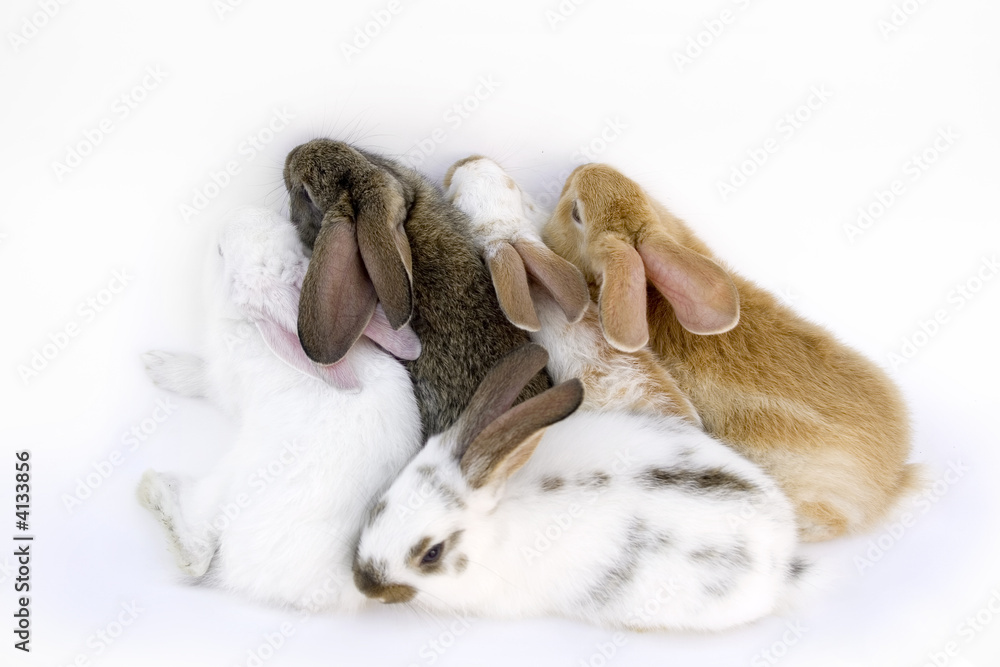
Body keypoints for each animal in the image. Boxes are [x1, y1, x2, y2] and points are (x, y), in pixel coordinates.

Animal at [136, 205, 423, 612]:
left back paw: (152, 488)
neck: (252, 328)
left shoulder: (222, 382)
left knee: (197, 553)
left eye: (220, 252)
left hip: (222, 487)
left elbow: (199, 379)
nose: (230, 216)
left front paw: (159, 366)